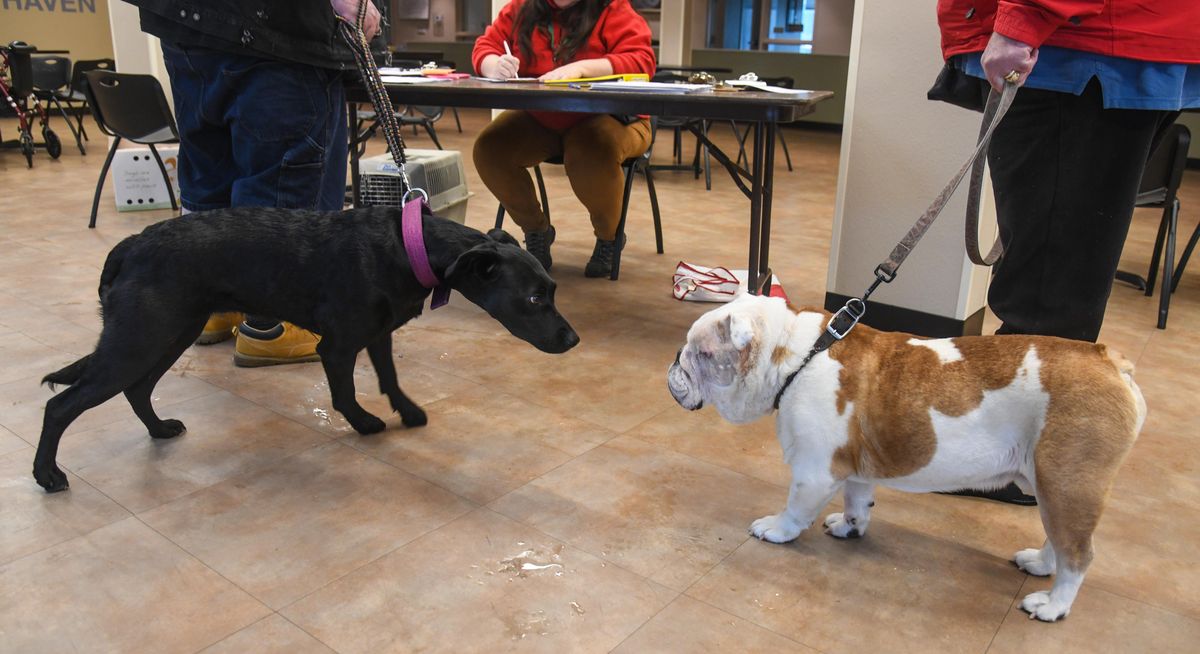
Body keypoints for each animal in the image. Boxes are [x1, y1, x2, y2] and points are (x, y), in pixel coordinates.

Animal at [35, 206, 578, 492]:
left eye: (554, 289)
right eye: (535, 298)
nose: (572, 340)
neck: (409, 245)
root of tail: (128, 245)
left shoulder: (378, 333)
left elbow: (390, 377)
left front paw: (406, 411)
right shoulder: (337, 346)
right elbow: (344, 394)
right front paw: (365, 424)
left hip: (169, 334)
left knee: (138, 389)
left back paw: (159, 429)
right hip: (139, 338)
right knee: (61, 406)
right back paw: (47, 473)